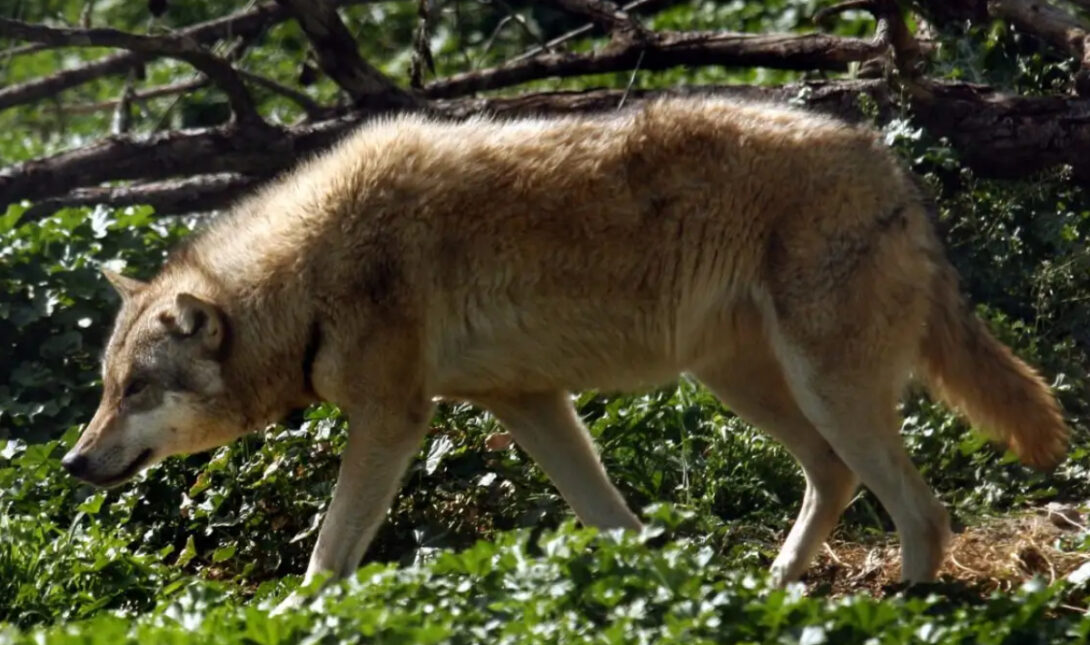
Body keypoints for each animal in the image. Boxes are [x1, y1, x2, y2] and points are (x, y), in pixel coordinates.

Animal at [62, 97, 1068, 601]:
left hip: (821, 386)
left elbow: (324, 560)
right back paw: (773, 591)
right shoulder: (530, 402)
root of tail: (892, 161)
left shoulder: (393, 420)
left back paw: (911, 611)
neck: (308, 273)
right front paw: (668, 598)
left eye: (137, 388)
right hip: (744, 382)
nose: (72, 461)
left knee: (924, 512)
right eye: (106, 387)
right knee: (837, 476)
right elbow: (619, 525)